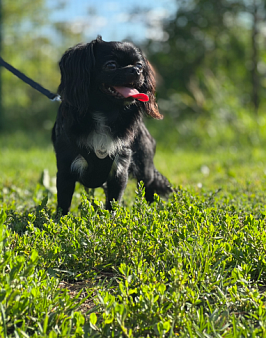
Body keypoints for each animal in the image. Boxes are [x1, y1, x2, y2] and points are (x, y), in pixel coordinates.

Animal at [52, 36, 172, 214]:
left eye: (139, 65)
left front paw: (110, 218)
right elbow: (63, 204)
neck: (104, 114)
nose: (136, 71)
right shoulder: (65, 170)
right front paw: (61, 220)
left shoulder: (119, 170)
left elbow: (113, 203)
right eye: (111, 65)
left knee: (148, 189)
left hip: (145, 168)